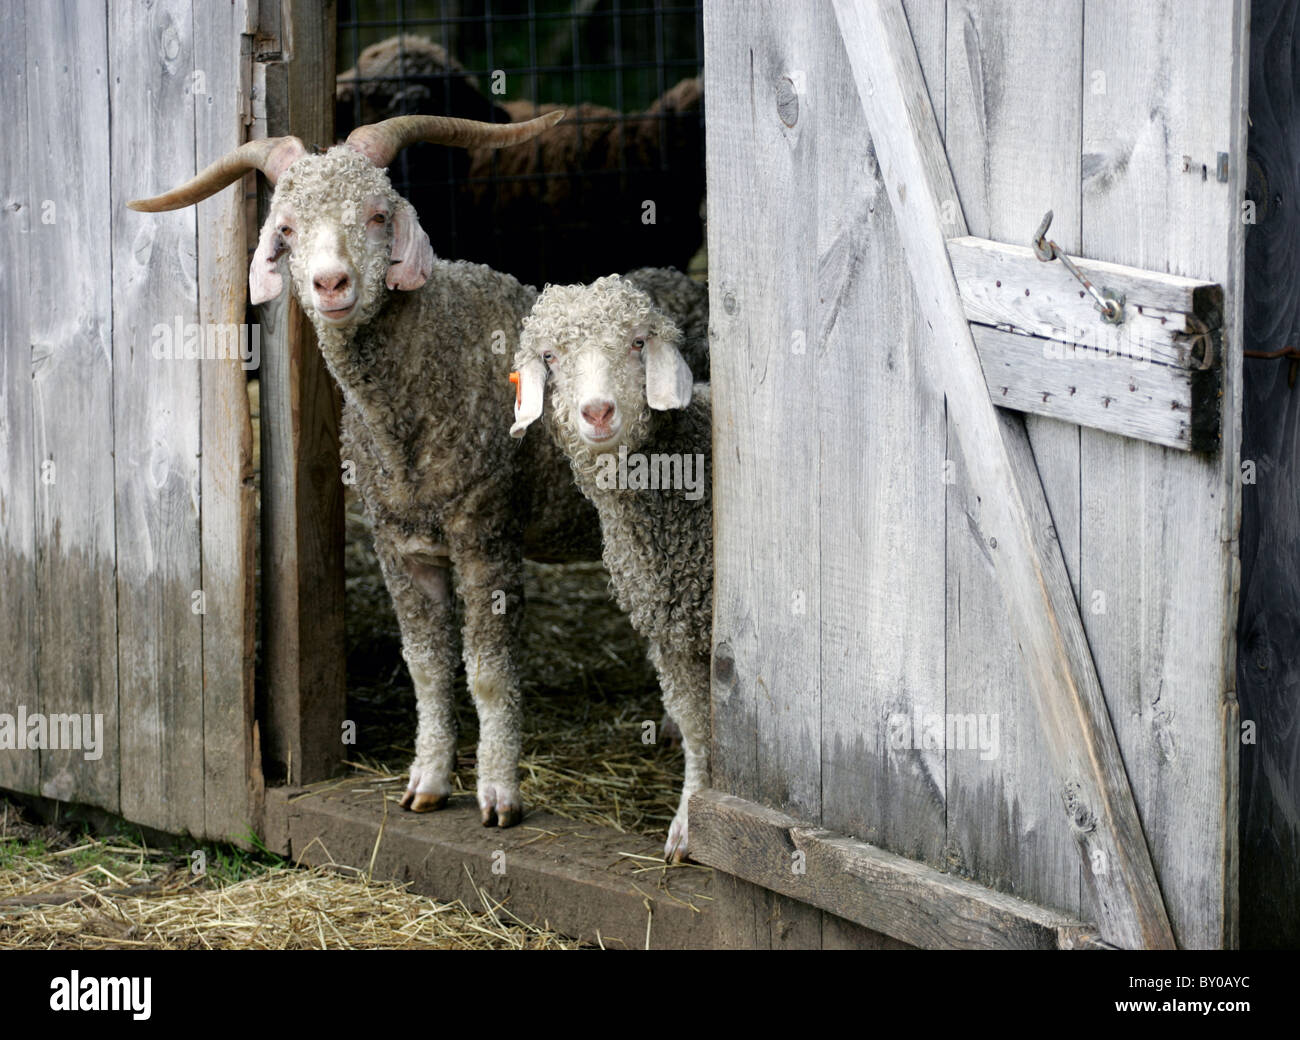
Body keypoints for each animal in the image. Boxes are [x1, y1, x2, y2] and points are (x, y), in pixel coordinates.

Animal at [126, 113, 608, 826]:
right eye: (287, 228)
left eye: (379, 215)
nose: (330, 284)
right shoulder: (397, 542)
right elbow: (427, 666)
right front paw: (427, 782)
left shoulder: (485, 528)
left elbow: (489, 672)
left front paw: (498, 795)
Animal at [506, 274, 712, 863]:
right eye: (550, 356)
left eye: (638, 343)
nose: (597, 413)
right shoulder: (673, 630)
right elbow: (698, 729)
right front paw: (690, 821)